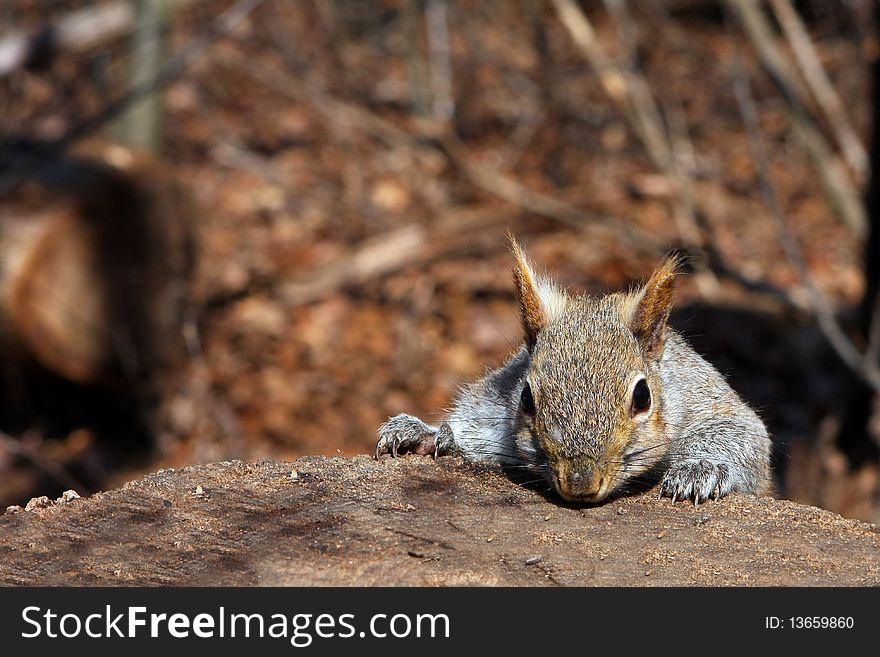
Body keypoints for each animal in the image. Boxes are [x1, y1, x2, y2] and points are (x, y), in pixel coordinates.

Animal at [374, 238, 772, 504]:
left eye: (643, 397)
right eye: (526, 398)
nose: (580, 483)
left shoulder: (703, 397)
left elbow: (742, 436)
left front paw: (700, 470)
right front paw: (425, 435)